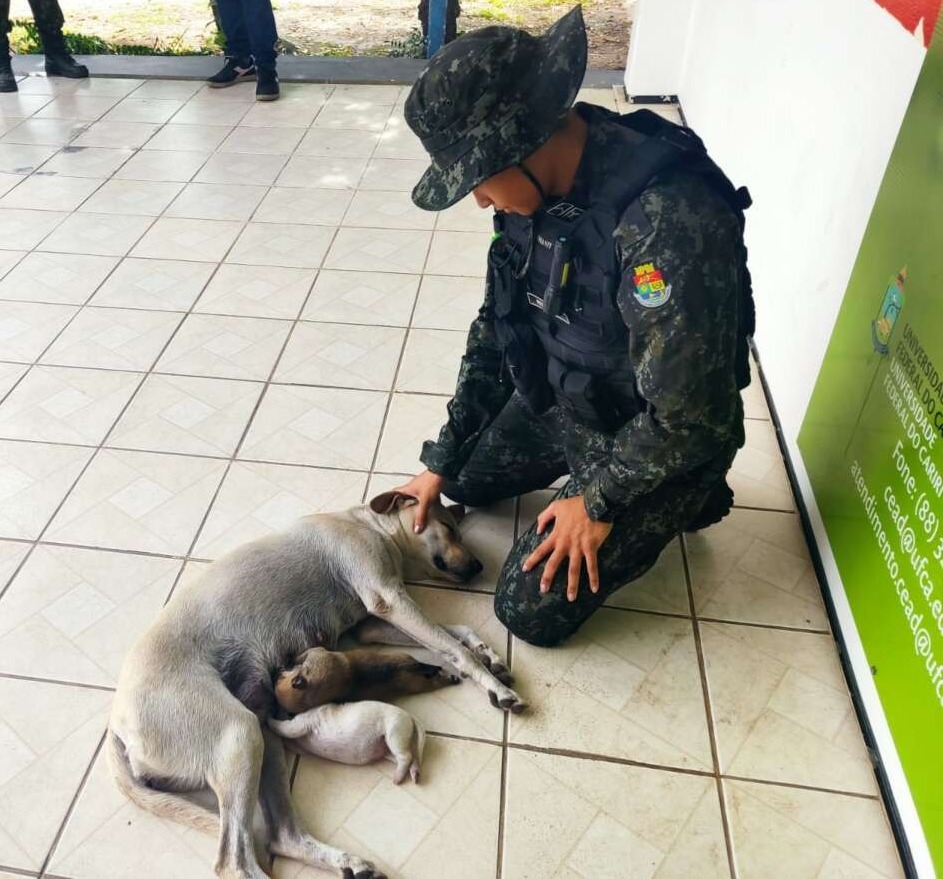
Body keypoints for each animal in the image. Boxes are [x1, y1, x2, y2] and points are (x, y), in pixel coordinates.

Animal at [268, 700, 426, 784]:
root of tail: (410, 716)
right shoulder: (299, 746)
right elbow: (289, 742)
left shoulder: (301, 723)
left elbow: (284, 727)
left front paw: (267, 718)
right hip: (389, 749)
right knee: (411, 758)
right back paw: (414, 774)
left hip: (395, 732)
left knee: (406, 756)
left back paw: (397, 778)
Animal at [272, 648, 460, 720]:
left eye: (280, 677)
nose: (277, 668)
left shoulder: (315, 652)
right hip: (419, 679)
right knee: (435, 678)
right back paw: (451, 678)